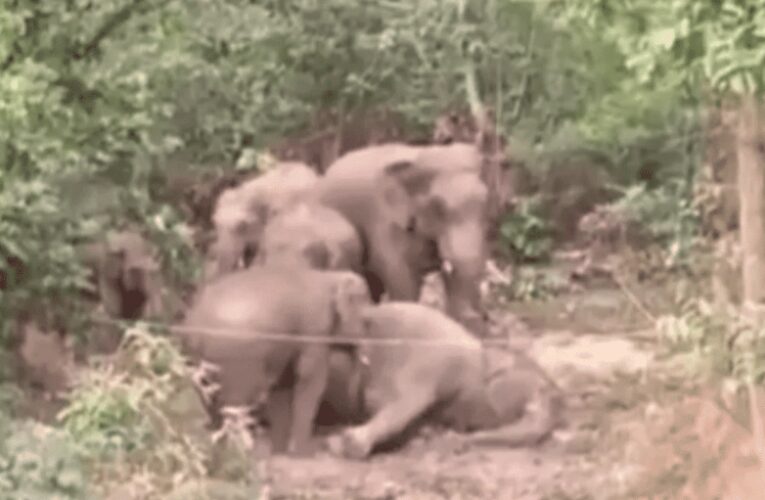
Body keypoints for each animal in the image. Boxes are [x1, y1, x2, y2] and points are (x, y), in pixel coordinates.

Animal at [310, 141, 490, 336]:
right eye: (438, 207)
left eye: (486, 200)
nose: (481, 317)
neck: (420, 154)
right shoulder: (385, 221)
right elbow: (402, 276)